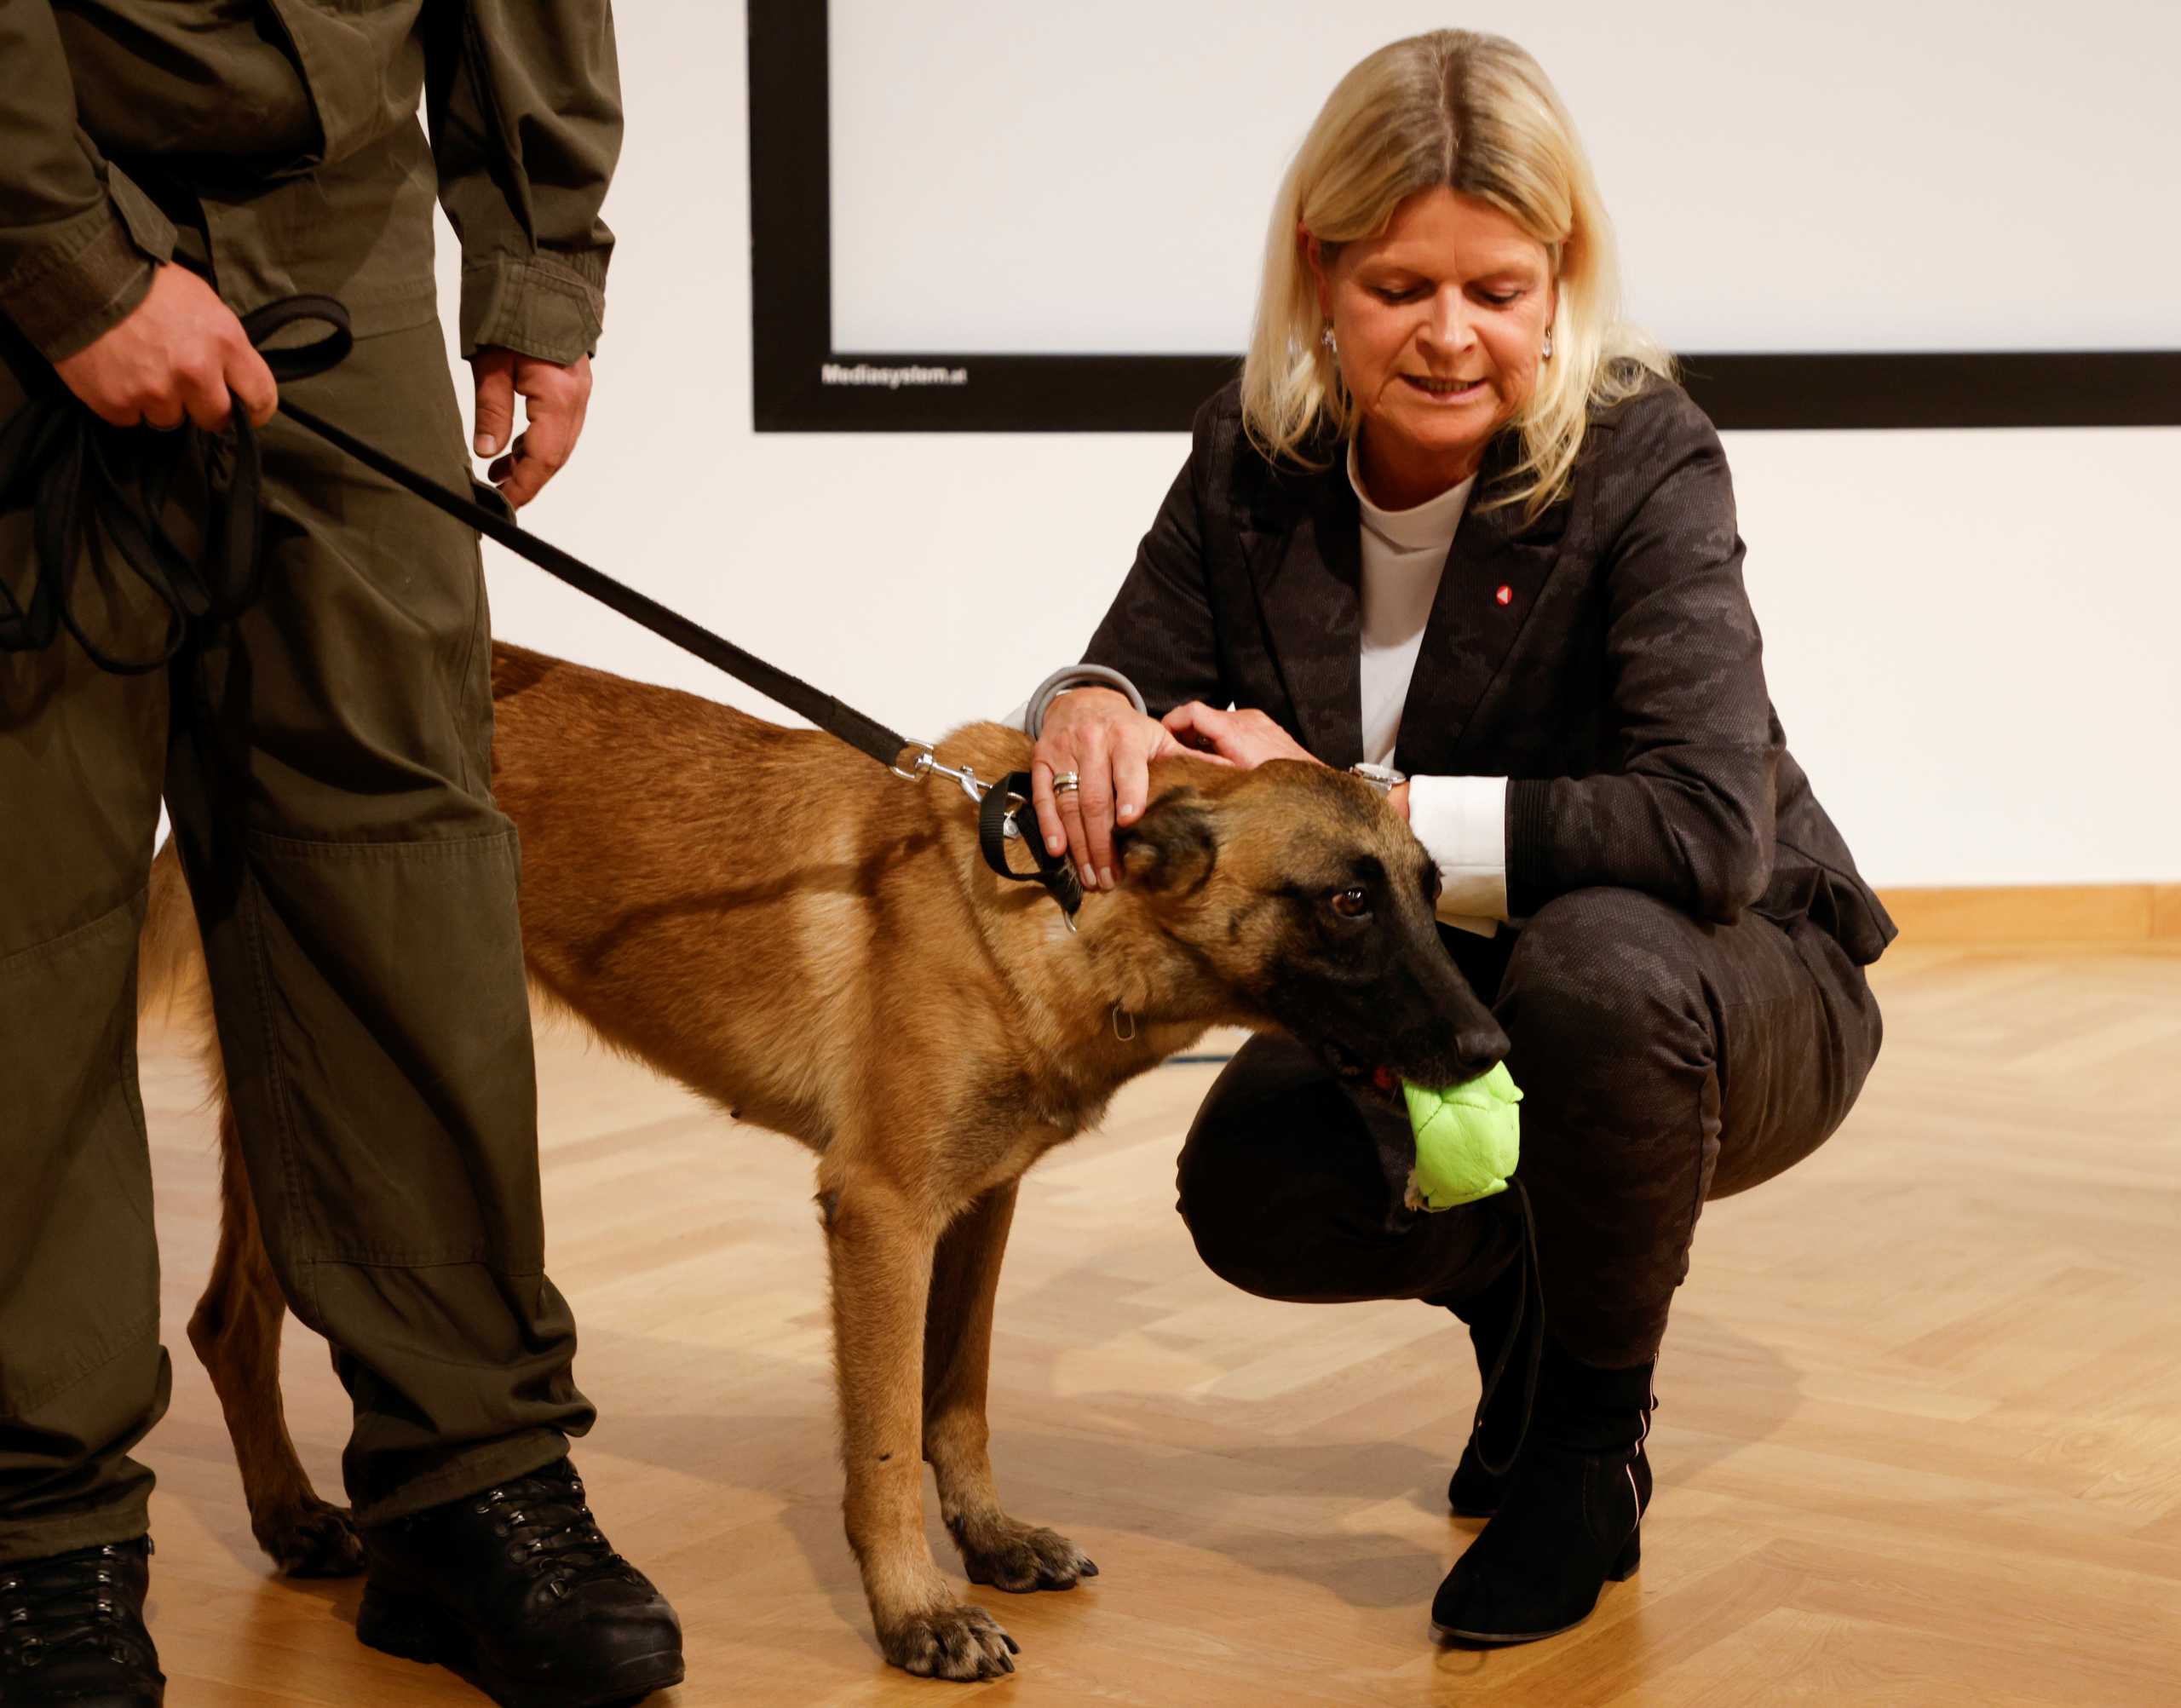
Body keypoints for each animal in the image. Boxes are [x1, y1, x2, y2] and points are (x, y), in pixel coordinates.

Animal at [136, 641, 1500, 1683]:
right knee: (233, 1319)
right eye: (1345, 901)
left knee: (222, 1319)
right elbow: (887, 1438)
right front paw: (916, 1610)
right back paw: (294, 1518)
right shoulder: (883, 1214)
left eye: (1429, 888)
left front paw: (989, 1539)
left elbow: (959, 1397)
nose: (1491, 1045)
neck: (1058, 899)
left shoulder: (979, 1206)